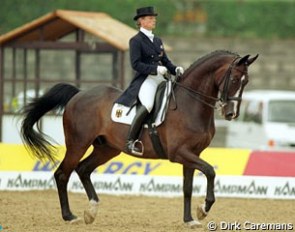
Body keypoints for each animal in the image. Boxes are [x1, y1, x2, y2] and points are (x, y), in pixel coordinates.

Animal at [20, 49, 260, 227]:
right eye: (235, 79)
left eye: (247, 82)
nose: (231, 114)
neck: (191, 103)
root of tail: (78, 94)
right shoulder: (180, 153)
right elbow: (210, 171)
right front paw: (203, 210)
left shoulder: (192, 153)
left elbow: (188, 187)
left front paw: (189, 219)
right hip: (78, 144)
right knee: (62, 174)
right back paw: (70, 216)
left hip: (106, 148)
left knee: (83, 169)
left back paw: (91, 211)